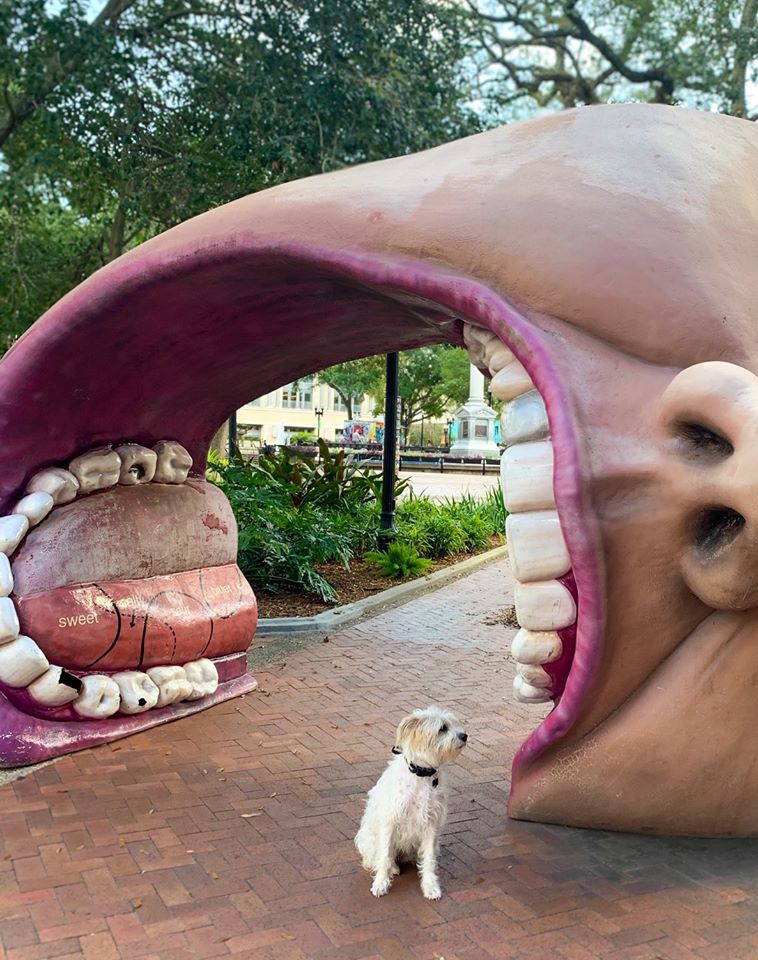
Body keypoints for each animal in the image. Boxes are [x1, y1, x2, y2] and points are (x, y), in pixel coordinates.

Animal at [356, 704, 470, 900]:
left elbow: (429, 859)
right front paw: (380, 883)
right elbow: (384, 856)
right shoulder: (389, 823)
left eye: (455, 723)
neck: (422, 775)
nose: (464, 735)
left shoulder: (431, 824)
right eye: (442, 728)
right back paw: (392, 868)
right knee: (377, 858)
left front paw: (430, 886)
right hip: (369, 840)